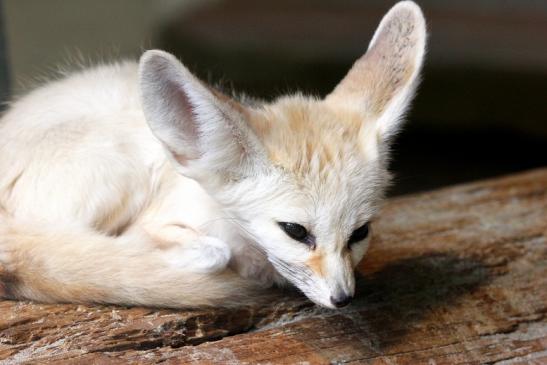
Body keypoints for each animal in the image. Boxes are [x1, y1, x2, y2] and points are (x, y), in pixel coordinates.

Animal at [0, 2, 428, 308]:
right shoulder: (165, 218)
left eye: (360, 233)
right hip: (119, 168)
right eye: (295, 231)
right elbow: (210, 252)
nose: (343, 300)